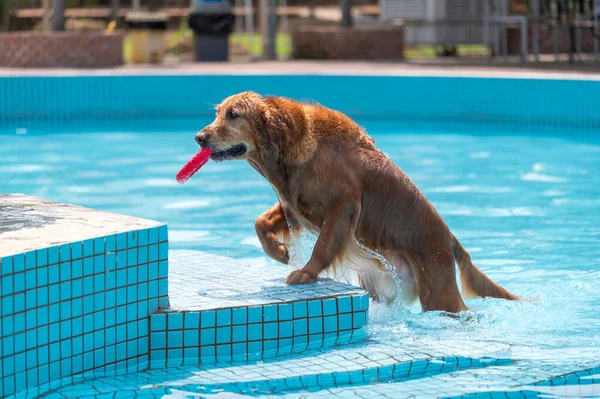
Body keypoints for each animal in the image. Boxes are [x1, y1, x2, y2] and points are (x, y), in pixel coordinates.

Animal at [195, 92, 516, 314]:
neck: (291, 145)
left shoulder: (343, 205)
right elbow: (261, 221)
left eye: (234, 114)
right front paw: (278, 251)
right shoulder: (295, 201)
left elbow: (323, 246)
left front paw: (305, 272)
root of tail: (450, 238)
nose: (199, 137)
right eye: (218, 113)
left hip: (437, 288)